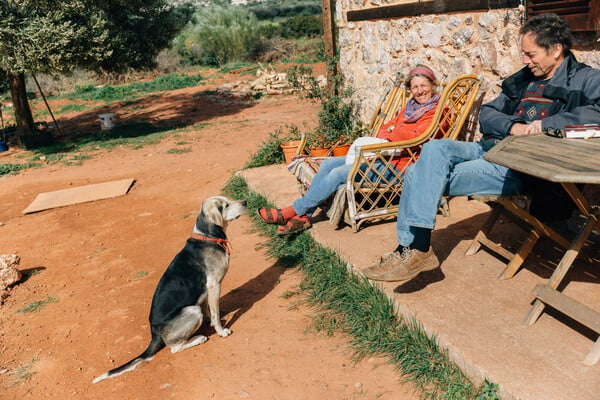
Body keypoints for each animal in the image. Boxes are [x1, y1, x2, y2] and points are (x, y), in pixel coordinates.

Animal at [92, 195, 246, 382]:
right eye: (226, 206)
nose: (245, 202)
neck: (207, 237)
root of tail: (154, 333)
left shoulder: (205, 292)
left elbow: (210, 309)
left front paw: (211, 319)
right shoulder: (213, 285)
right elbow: (215, 315)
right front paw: (221, 331)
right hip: (192, 311)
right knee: (174, 347)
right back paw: (198, 338)